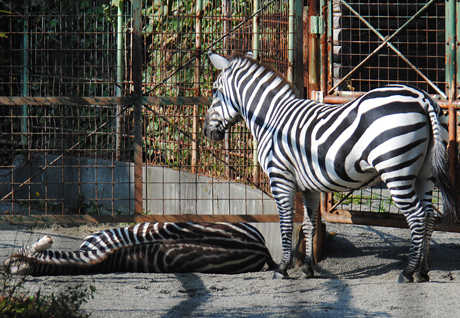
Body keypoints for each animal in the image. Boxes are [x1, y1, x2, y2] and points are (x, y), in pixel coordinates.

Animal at [205, 52, 460, 284]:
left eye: (215, 90)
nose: (207, 132)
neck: (271, 118)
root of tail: (422, 97)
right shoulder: (309, 186)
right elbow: (309, 226)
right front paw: (308, 268)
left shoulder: (280, 177)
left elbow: (286, 224)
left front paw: (283, 268)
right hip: (424, 174)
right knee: (429, 216)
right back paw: (423, 271)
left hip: (396, 169)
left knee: (416, 216)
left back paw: (407, 272)